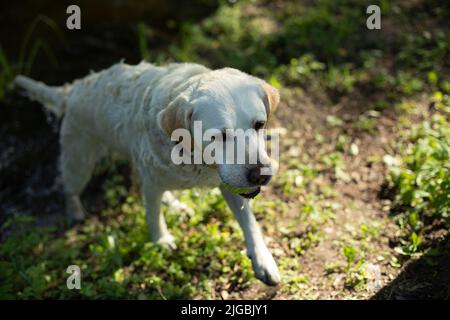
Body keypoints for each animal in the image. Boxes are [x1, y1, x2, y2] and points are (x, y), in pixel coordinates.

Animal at [14, 62, 282, 284]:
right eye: (219, 136)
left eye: (259, 124)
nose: (261, 175)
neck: (194, 157)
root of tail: (73, 89)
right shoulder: (153, 184)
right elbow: (153, 215)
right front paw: (161, 240)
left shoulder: (230, 182)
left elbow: (249, 222)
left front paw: (263, 260)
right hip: (79, 160)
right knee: (70, 188)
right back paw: (75, 212)